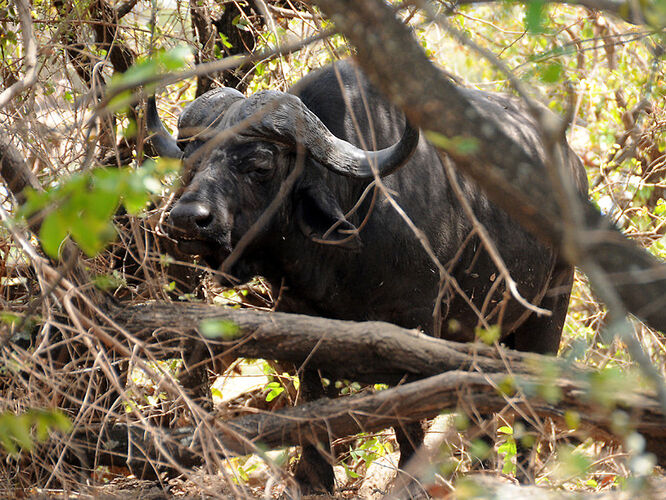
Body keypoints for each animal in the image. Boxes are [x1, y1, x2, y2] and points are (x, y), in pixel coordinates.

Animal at [147, 59, 588, 492]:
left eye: (260, 164)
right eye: (192, 160)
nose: (187, 219)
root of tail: (573, 167)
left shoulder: (416, 324)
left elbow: (408, 414)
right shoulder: (299, 318)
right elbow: (312, 401)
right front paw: (315, 479)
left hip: (550, 311)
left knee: (528, 417)